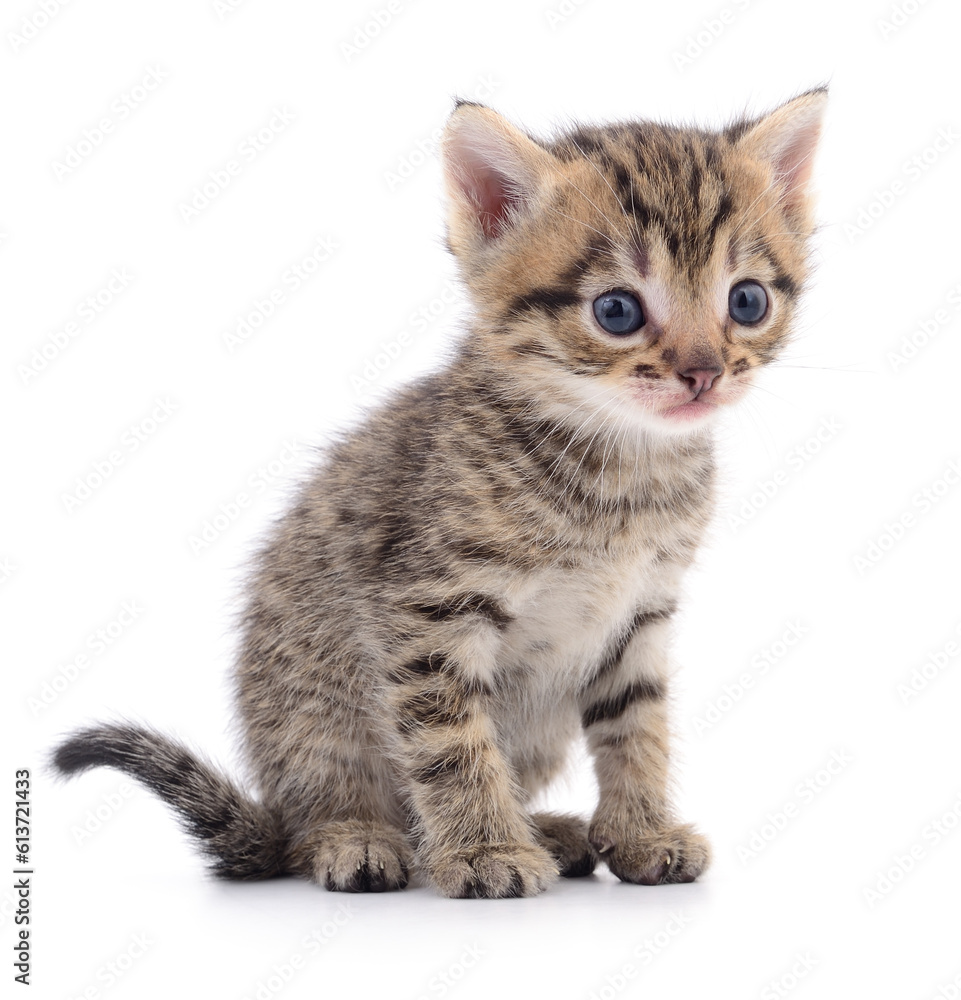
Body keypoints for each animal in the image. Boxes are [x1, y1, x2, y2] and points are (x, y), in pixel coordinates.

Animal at [54, 92, 824, 900]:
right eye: (616, 311)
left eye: (747, 301)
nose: (704, 372)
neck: (622, 473)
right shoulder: (426, 612)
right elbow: (452, 743)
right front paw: (486, 850)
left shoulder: (641, 613)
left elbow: (636, 727)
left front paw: (642, 833)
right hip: (313, 713)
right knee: (311, 819)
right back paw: (360, 838)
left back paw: (550, 830)